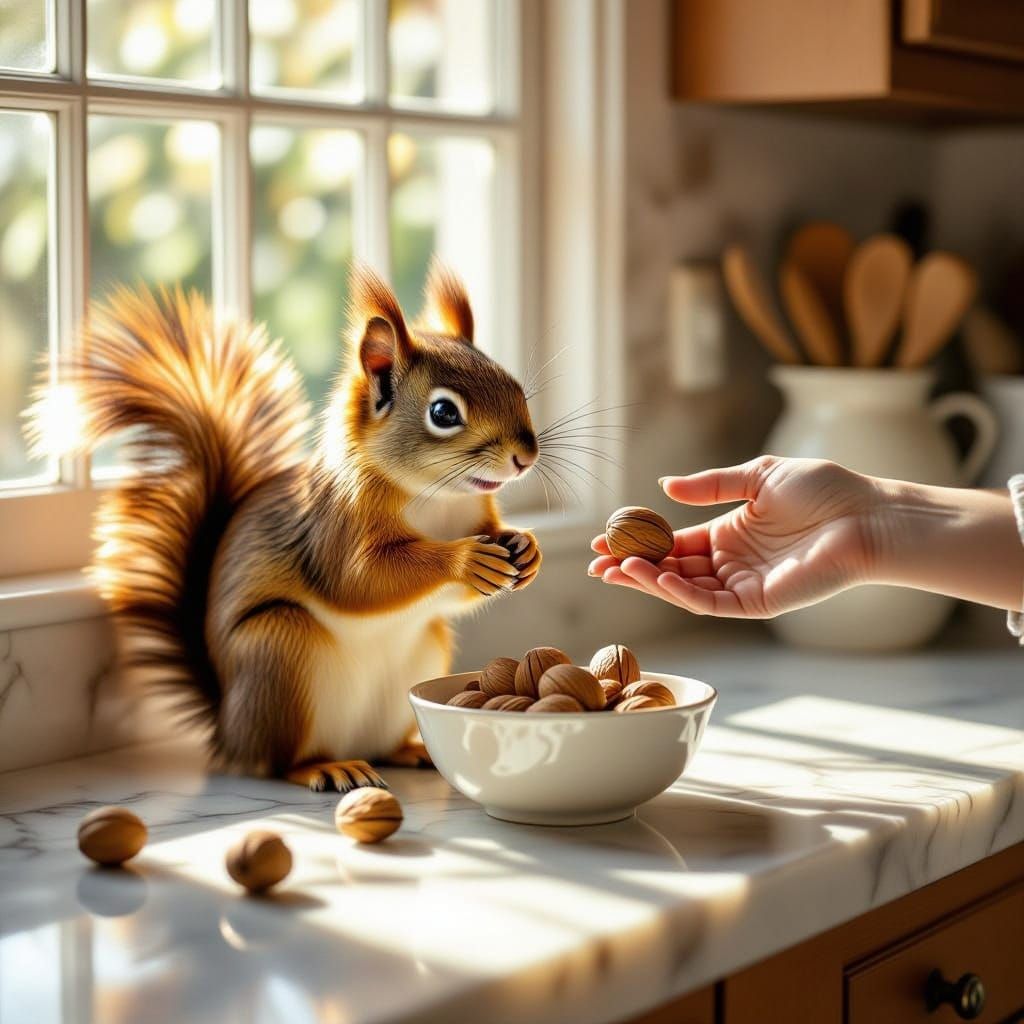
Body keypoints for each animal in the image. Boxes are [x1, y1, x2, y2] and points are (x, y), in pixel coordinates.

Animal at [50, 262, 542, 791]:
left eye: (513, 384)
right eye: (444, 412)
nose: (525, 456)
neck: (439, 497)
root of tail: (229, 731)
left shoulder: (474, 516)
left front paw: (526, 548)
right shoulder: (334, 527)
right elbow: (360, 580)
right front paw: (467, 559)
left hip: (421, 651)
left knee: (378, 743)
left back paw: (409, 750)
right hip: (279, 652)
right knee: (277, 762)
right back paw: (324, 766)